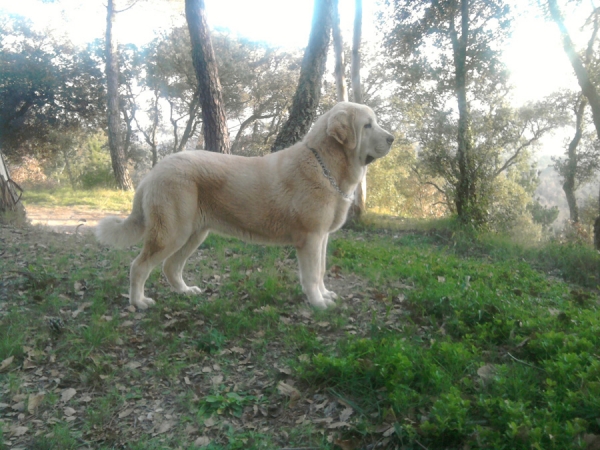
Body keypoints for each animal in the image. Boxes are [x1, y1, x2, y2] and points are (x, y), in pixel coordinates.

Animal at [95, 103, 394, 310]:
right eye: (368, 125)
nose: (392, 138)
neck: (325, 165)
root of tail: (153, 171)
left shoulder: (321, 238)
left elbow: (320, 271)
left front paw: (325, 295)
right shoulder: (310, 238)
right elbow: (311, 275)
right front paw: (318, 304)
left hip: (194, 234)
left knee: (171, 266)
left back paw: (185, 292)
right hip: (171, 233)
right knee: (139, 266)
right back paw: (138, 302)